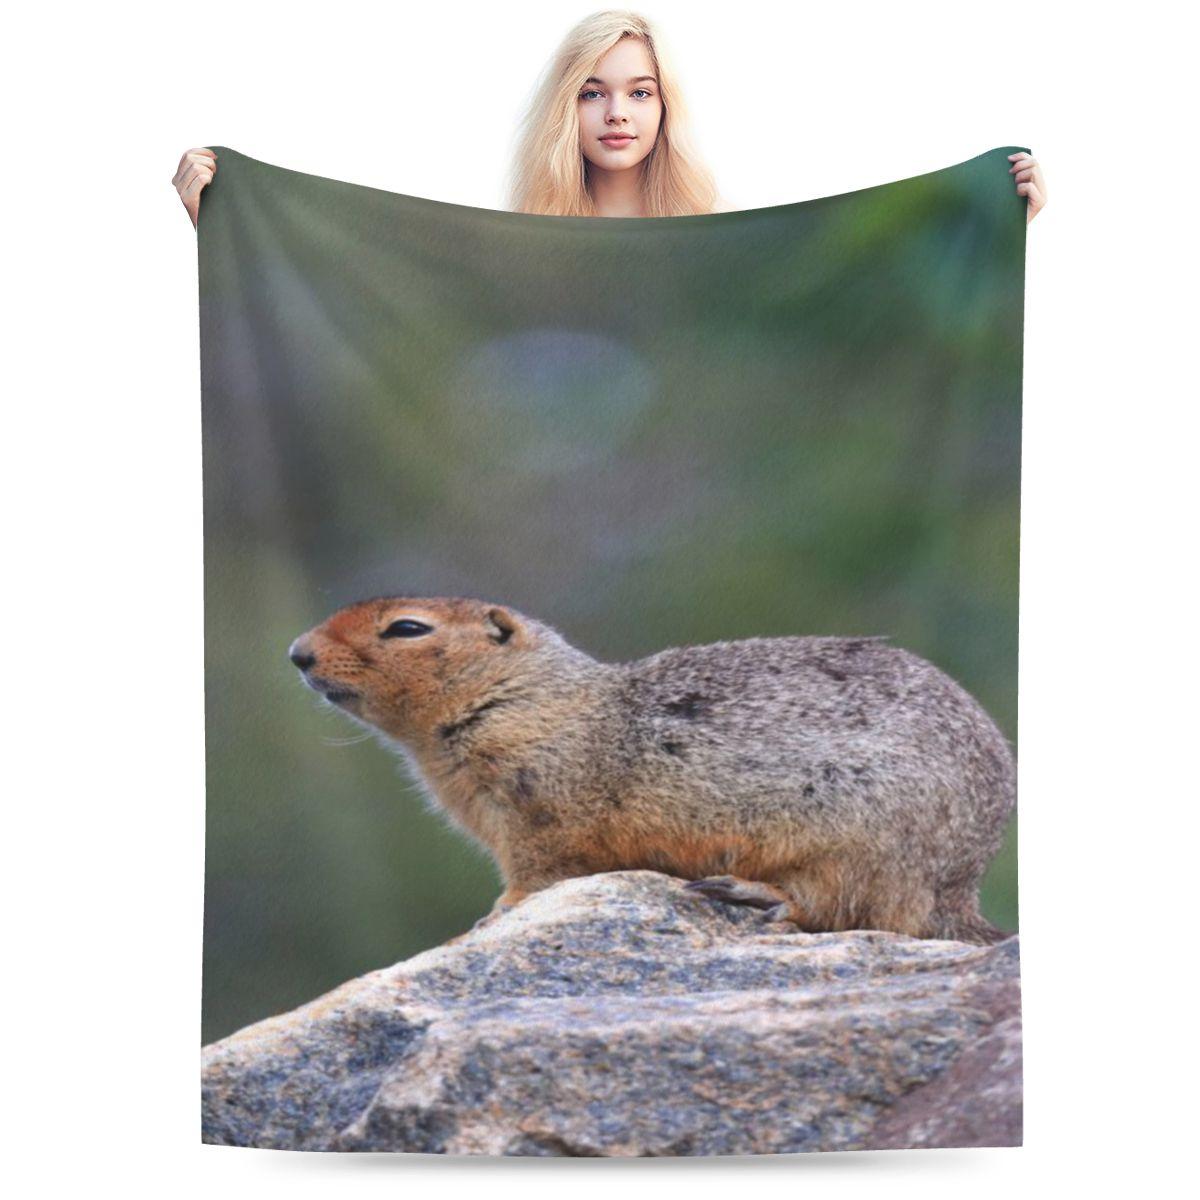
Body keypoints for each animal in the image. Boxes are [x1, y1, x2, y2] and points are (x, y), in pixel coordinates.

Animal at [288, 596, 1016, 944]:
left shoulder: (538, 807)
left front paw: (497, 913)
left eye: (407, 628)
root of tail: (960, 889)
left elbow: (537, 868)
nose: (297, 652)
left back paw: (755, 893)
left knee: (847, 909)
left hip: (861, 834)